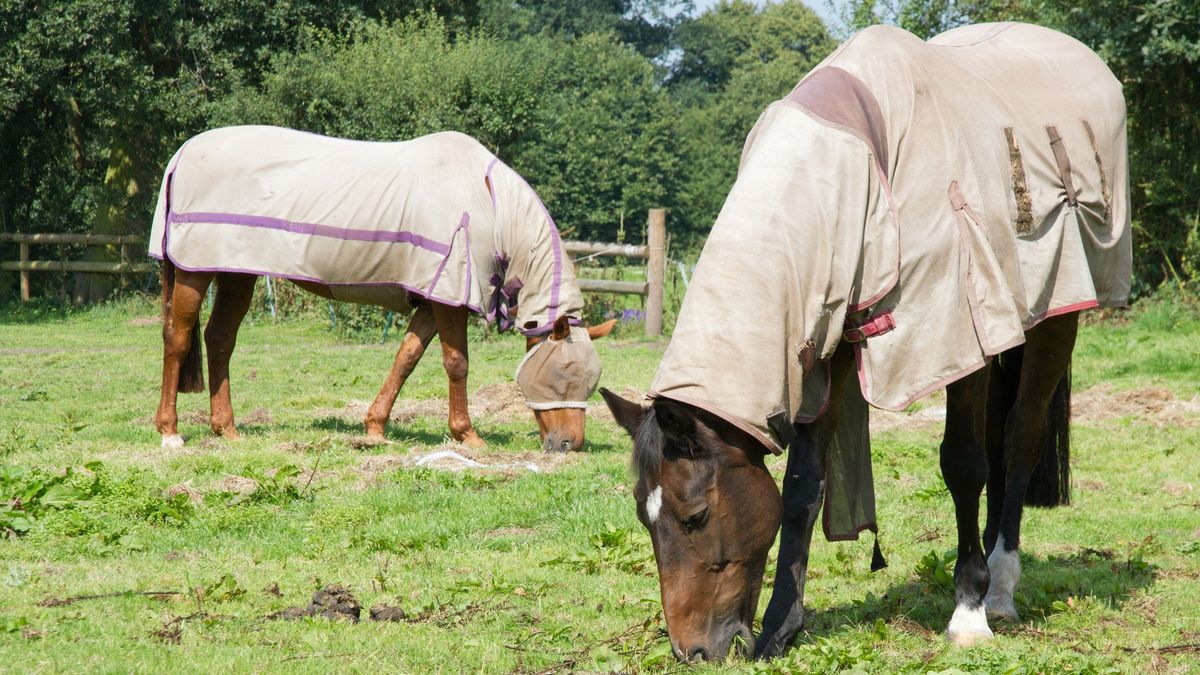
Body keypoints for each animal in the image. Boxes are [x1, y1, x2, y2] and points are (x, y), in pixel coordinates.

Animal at [148, 126, 614, 451]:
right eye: (563, 371)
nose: (571, 445)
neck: (489, 205)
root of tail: (183, 154)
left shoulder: (430, 301)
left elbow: (405, 358)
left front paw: (374, 428)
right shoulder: (449, 300)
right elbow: (456, 364)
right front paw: (467, 435)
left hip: (236, 273)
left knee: (219, 339)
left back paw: (226, 429)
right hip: (194, 273)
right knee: (179, 338)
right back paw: (170, 432)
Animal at [609, 22, 1132, 662]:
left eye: (695, 516)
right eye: (644, 517)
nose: (694, 651)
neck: (849, 178)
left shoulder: (957, 338)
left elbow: (964, 464)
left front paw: (968, 611)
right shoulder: (819, 349)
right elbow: (801, 490)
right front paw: (782, 626)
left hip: (1055, 317)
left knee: (1020, 439)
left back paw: (1000, 586)